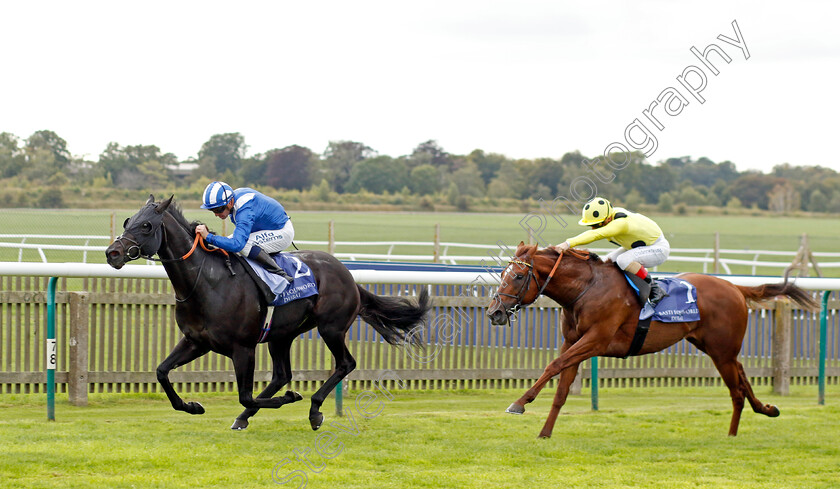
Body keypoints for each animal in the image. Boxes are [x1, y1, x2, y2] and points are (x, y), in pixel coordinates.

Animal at [106, 196, 430, 428]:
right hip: (281, 335)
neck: (207, 281)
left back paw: (314, 409)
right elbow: (161, 371)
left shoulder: (243, 348)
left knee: (345, 363)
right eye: (128, 221)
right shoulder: (196, 341)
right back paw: (247, 417)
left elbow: (245, 395)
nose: (112, 253)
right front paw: (192, 406)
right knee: (281, 374)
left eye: (147, 226)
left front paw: (291, 397)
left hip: (331, 327)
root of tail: (348, 275)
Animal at [488, 242, 816, 436]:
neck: (585, 289)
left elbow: (553, 366)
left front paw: (519, 403)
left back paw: (732, 433)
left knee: (736, 389)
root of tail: (736, 288)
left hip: (722, 351)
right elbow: (562, 389)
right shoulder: (573, 342)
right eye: (502, 274)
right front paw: (545, 432)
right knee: (743, 377)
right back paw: (766, 409)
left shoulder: (595, 340)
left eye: (518, 277)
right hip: (716, 348)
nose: (494, 312)